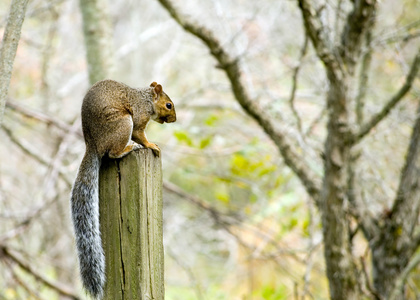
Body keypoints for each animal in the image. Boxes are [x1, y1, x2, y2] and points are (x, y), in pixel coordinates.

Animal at [70, 79, 176, 298]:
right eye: (168, 105)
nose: (174, 119)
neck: (146, 98)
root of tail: (93, 146)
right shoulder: (139, 116)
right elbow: (139, 135)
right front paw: (150, 145)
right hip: (122, 124)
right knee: (113, 153)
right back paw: (128, 149)